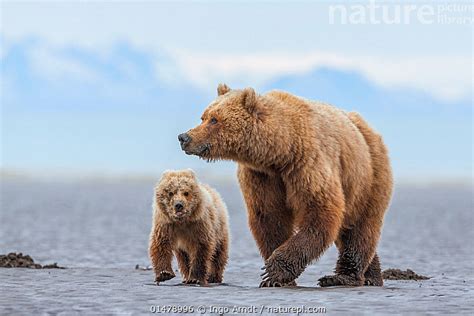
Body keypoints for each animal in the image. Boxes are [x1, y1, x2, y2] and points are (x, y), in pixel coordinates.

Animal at [178, 85, 392, 288]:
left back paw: (342, 277)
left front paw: (272, 272)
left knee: (360, 229)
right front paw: (278, 277)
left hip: (369, 177)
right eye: (203, 116)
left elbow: (319, 213)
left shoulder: (307, 163)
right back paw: (372, 276)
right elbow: (270, 218)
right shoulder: (263, 177)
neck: (281, 150)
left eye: (214, 119)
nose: (184, 137)